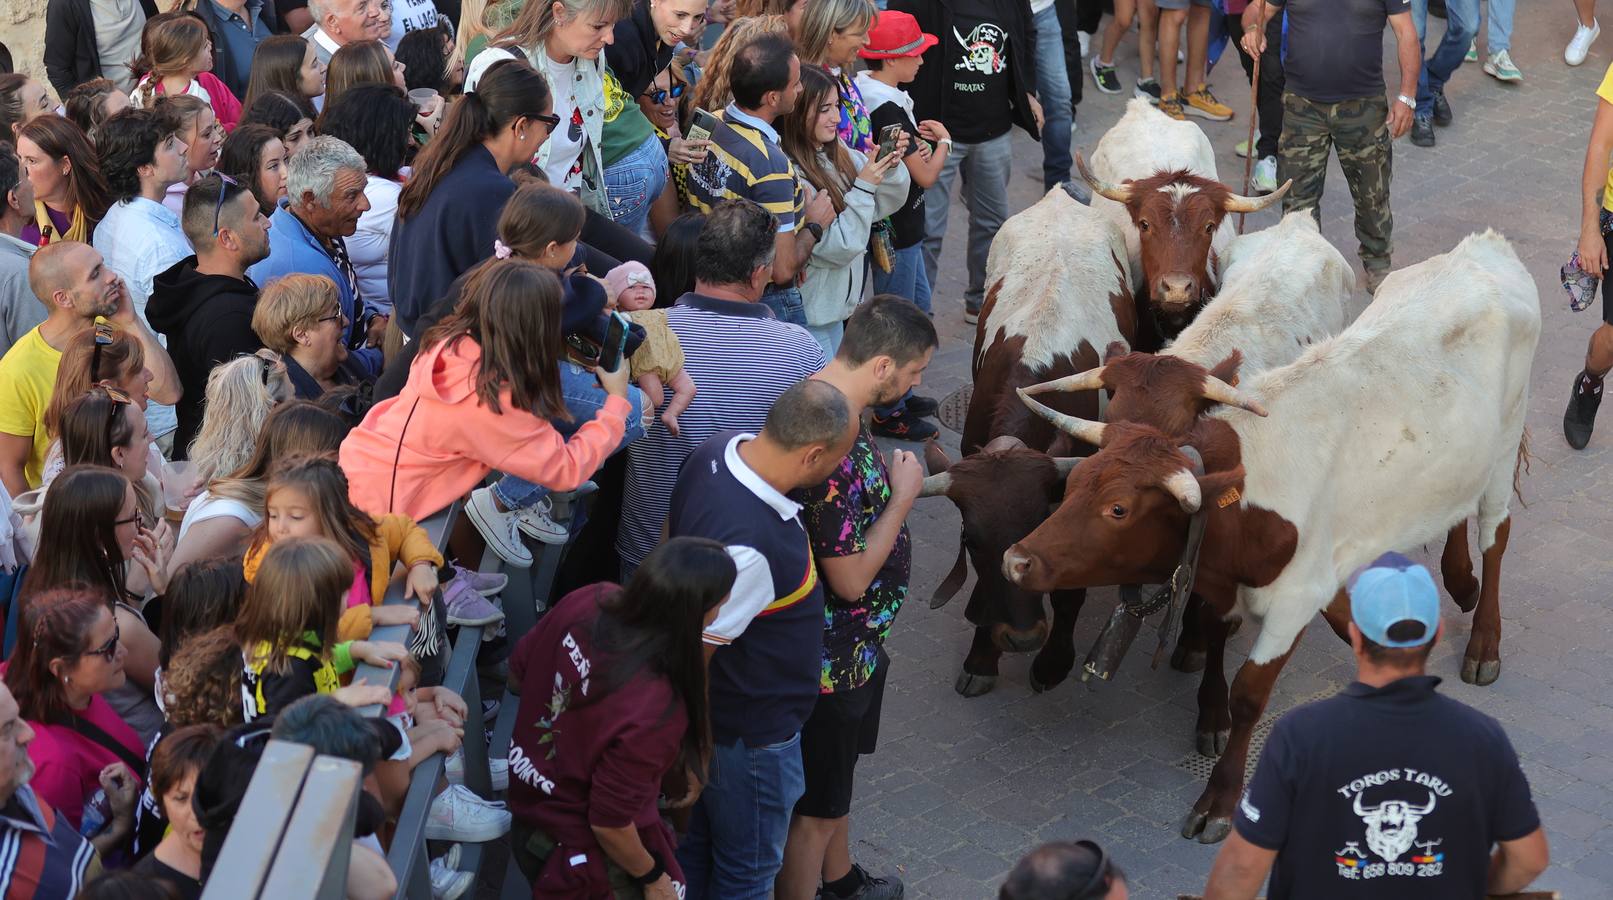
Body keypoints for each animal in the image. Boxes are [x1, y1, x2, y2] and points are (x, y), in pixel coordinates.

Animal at [1000, 232, 1542, 845]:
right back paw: (1459, 583)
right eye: (1075, 486)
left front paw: (1219, 799)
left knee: (1495, 533)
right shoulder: (1231, 586)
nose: (1016, 560)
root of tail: (1483, 248)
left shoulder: (1290, 603)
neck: (1247, 491)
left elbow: (1248, 695)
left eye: (1119, 508)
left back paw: (1483, 642)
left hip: (1505, 442)